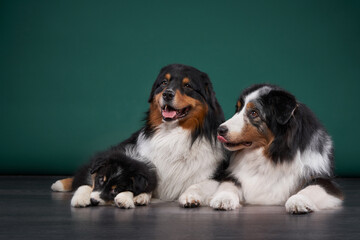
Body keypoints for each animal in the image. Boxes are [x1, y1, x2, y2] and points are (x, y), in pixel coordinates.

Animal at [211, 83, 344, 213]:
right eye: (238, 109)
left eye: (254, 113)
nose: (220, 130)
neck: (271, 155)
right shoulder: (233, 175)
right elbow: (228, 184)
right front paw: (223, 198)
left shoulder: (323, 179)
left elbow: (313, 188)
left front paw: (298, 201)